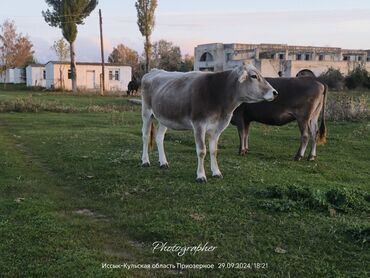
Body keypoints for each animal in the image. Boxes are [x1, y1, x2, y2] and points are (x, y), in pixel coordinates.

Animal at [141, 64, 278, 184]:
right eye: (254, 76)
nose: (275, 92)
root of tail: (154, 70)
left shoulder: (218, 127)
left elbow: (213, 150)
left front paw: (216, 172)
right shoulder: (198, 124)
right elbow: (202, 151)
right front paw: (201, 176)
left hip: (164, 117)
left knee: (159, 137)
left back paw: (163, 162)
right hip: (147, 112)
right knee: (146, 136)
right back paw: (145, 161)